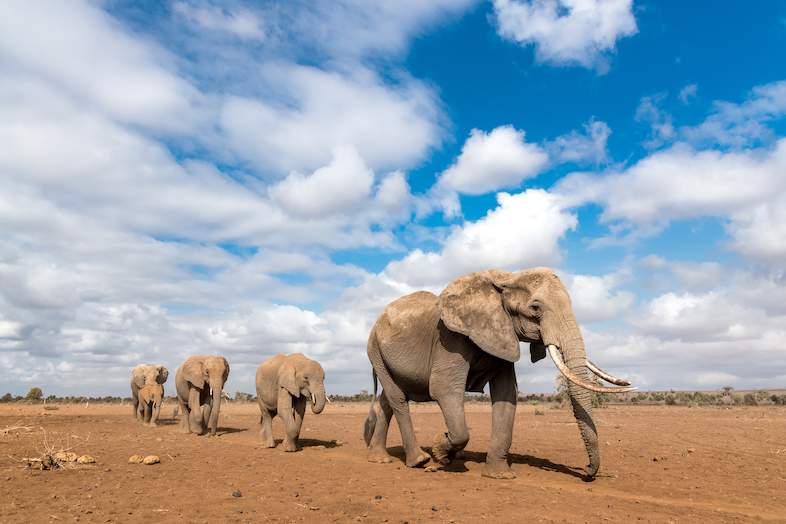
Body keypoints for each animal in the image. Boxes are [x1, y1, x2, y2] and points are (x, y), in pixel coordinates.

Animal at [363, 267, 634, 479]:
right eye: (536, 308)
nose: (587, 471)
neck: (507, 278)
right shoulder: (450, 338)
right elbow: (443, 389)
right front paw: (441, 453)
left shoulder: (503, 334)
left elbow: (506, 395)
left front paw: (499, 475)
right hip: (374, 349)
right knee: (398, 398)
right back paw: (419, 461)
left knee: (387, 400)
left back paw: (379, 459)